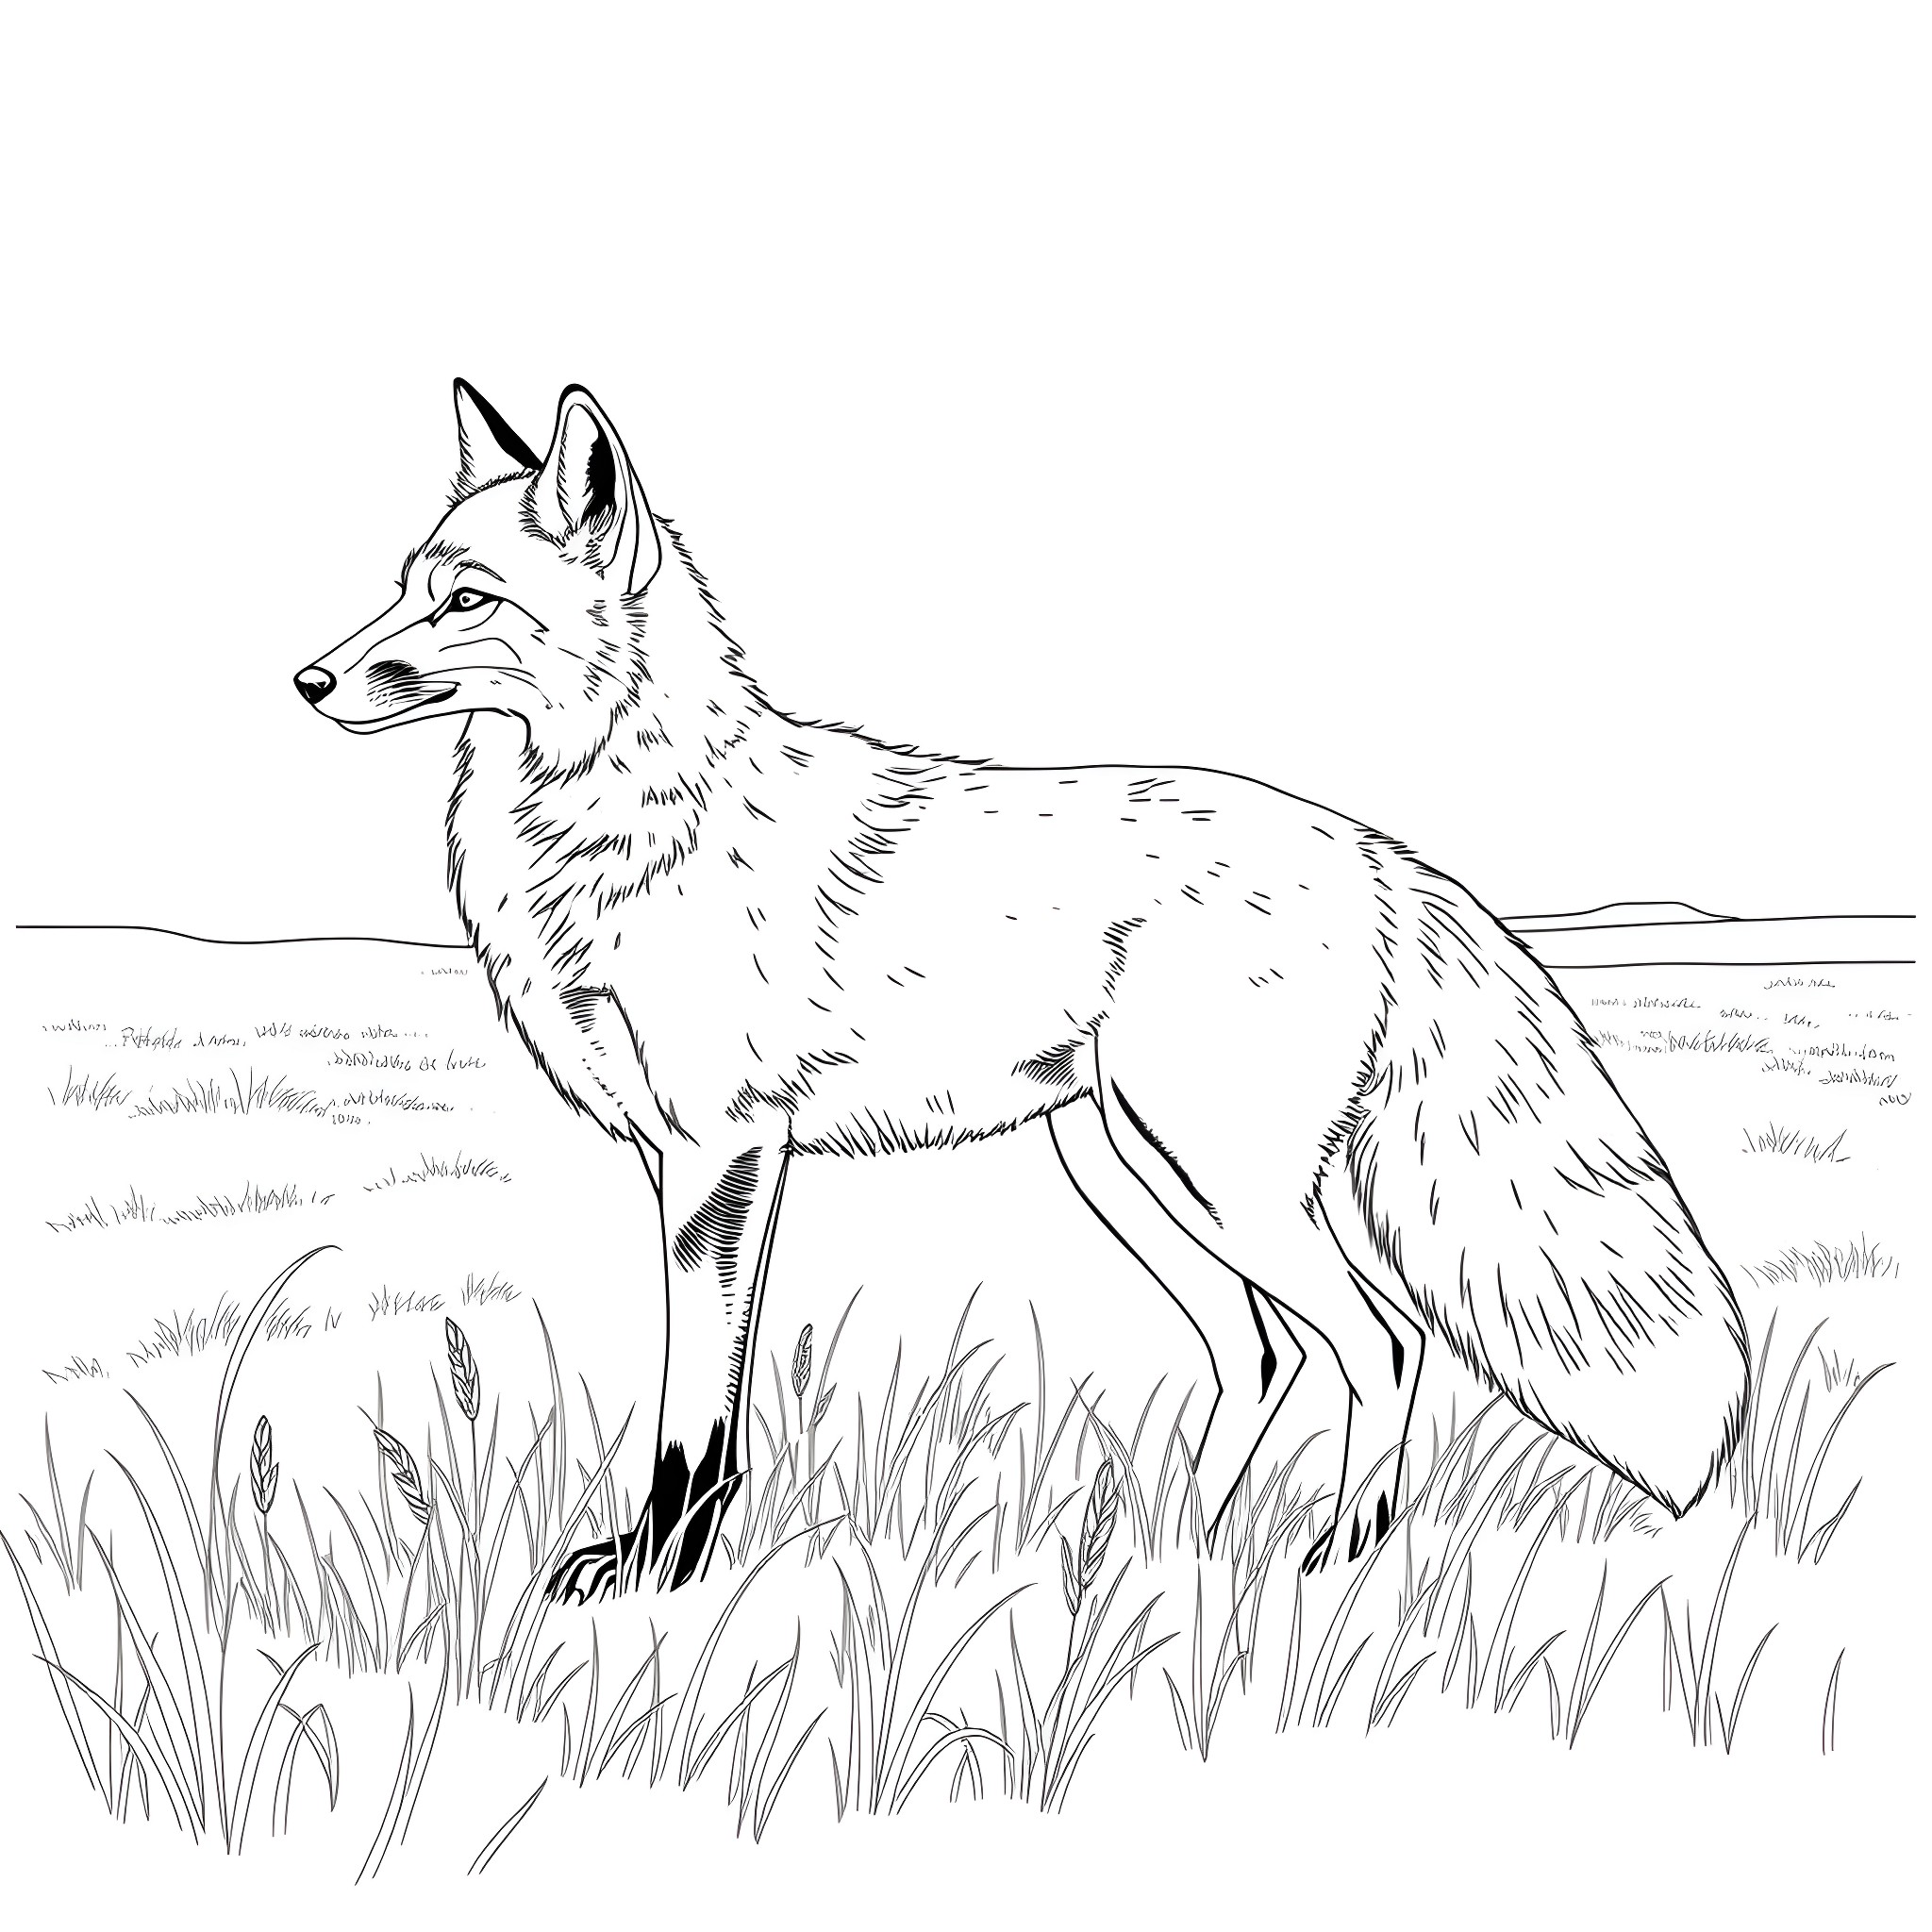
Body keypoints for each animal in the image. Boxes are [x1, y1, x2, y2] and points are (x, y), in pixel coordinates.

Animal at [296, 378, 1751, 1601]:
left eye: (466, 601)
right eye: (402, 588)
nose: (306, 678)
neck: (625, 821)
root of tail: (1375, 851)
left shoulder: (720, 1154)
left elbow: (693, 1415)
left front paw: (661, 1574)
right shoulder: (695, 1155)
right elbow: (700, 1401)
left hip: (1221, 1183)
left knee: (1381, 1344)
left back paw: (1334, 1557)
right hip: (1132, 1174)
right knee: (1258, 1354)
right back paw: (1168, 1551)